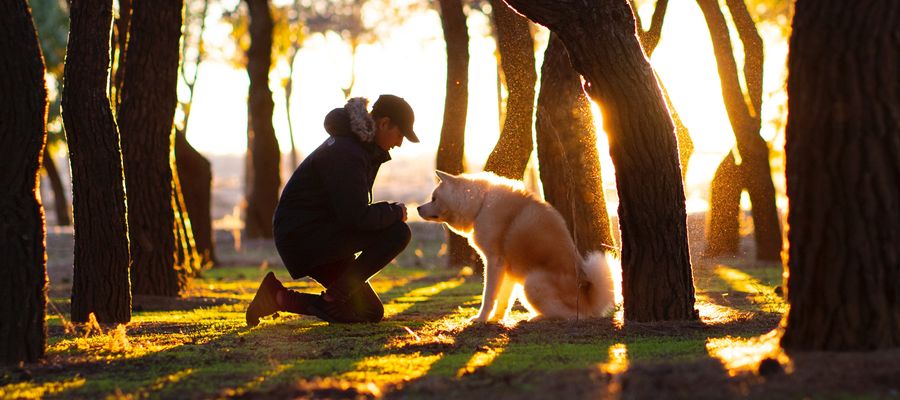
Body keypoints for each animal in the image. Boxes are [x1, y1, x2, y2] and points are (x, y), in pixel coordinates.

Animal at [416, 170, 616, 322]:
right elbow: (503, 300)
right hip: (523, 283)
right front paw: (496, 319)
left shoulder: (494, 263)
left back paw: (538, 317)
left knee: (572, 315)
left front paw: (481, 319)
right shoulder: (508, 270)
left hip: (531, 283)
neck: (481, 203)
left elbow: (489, 296)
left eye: (433, 198)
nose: (417, 208)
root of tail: (589, 301)